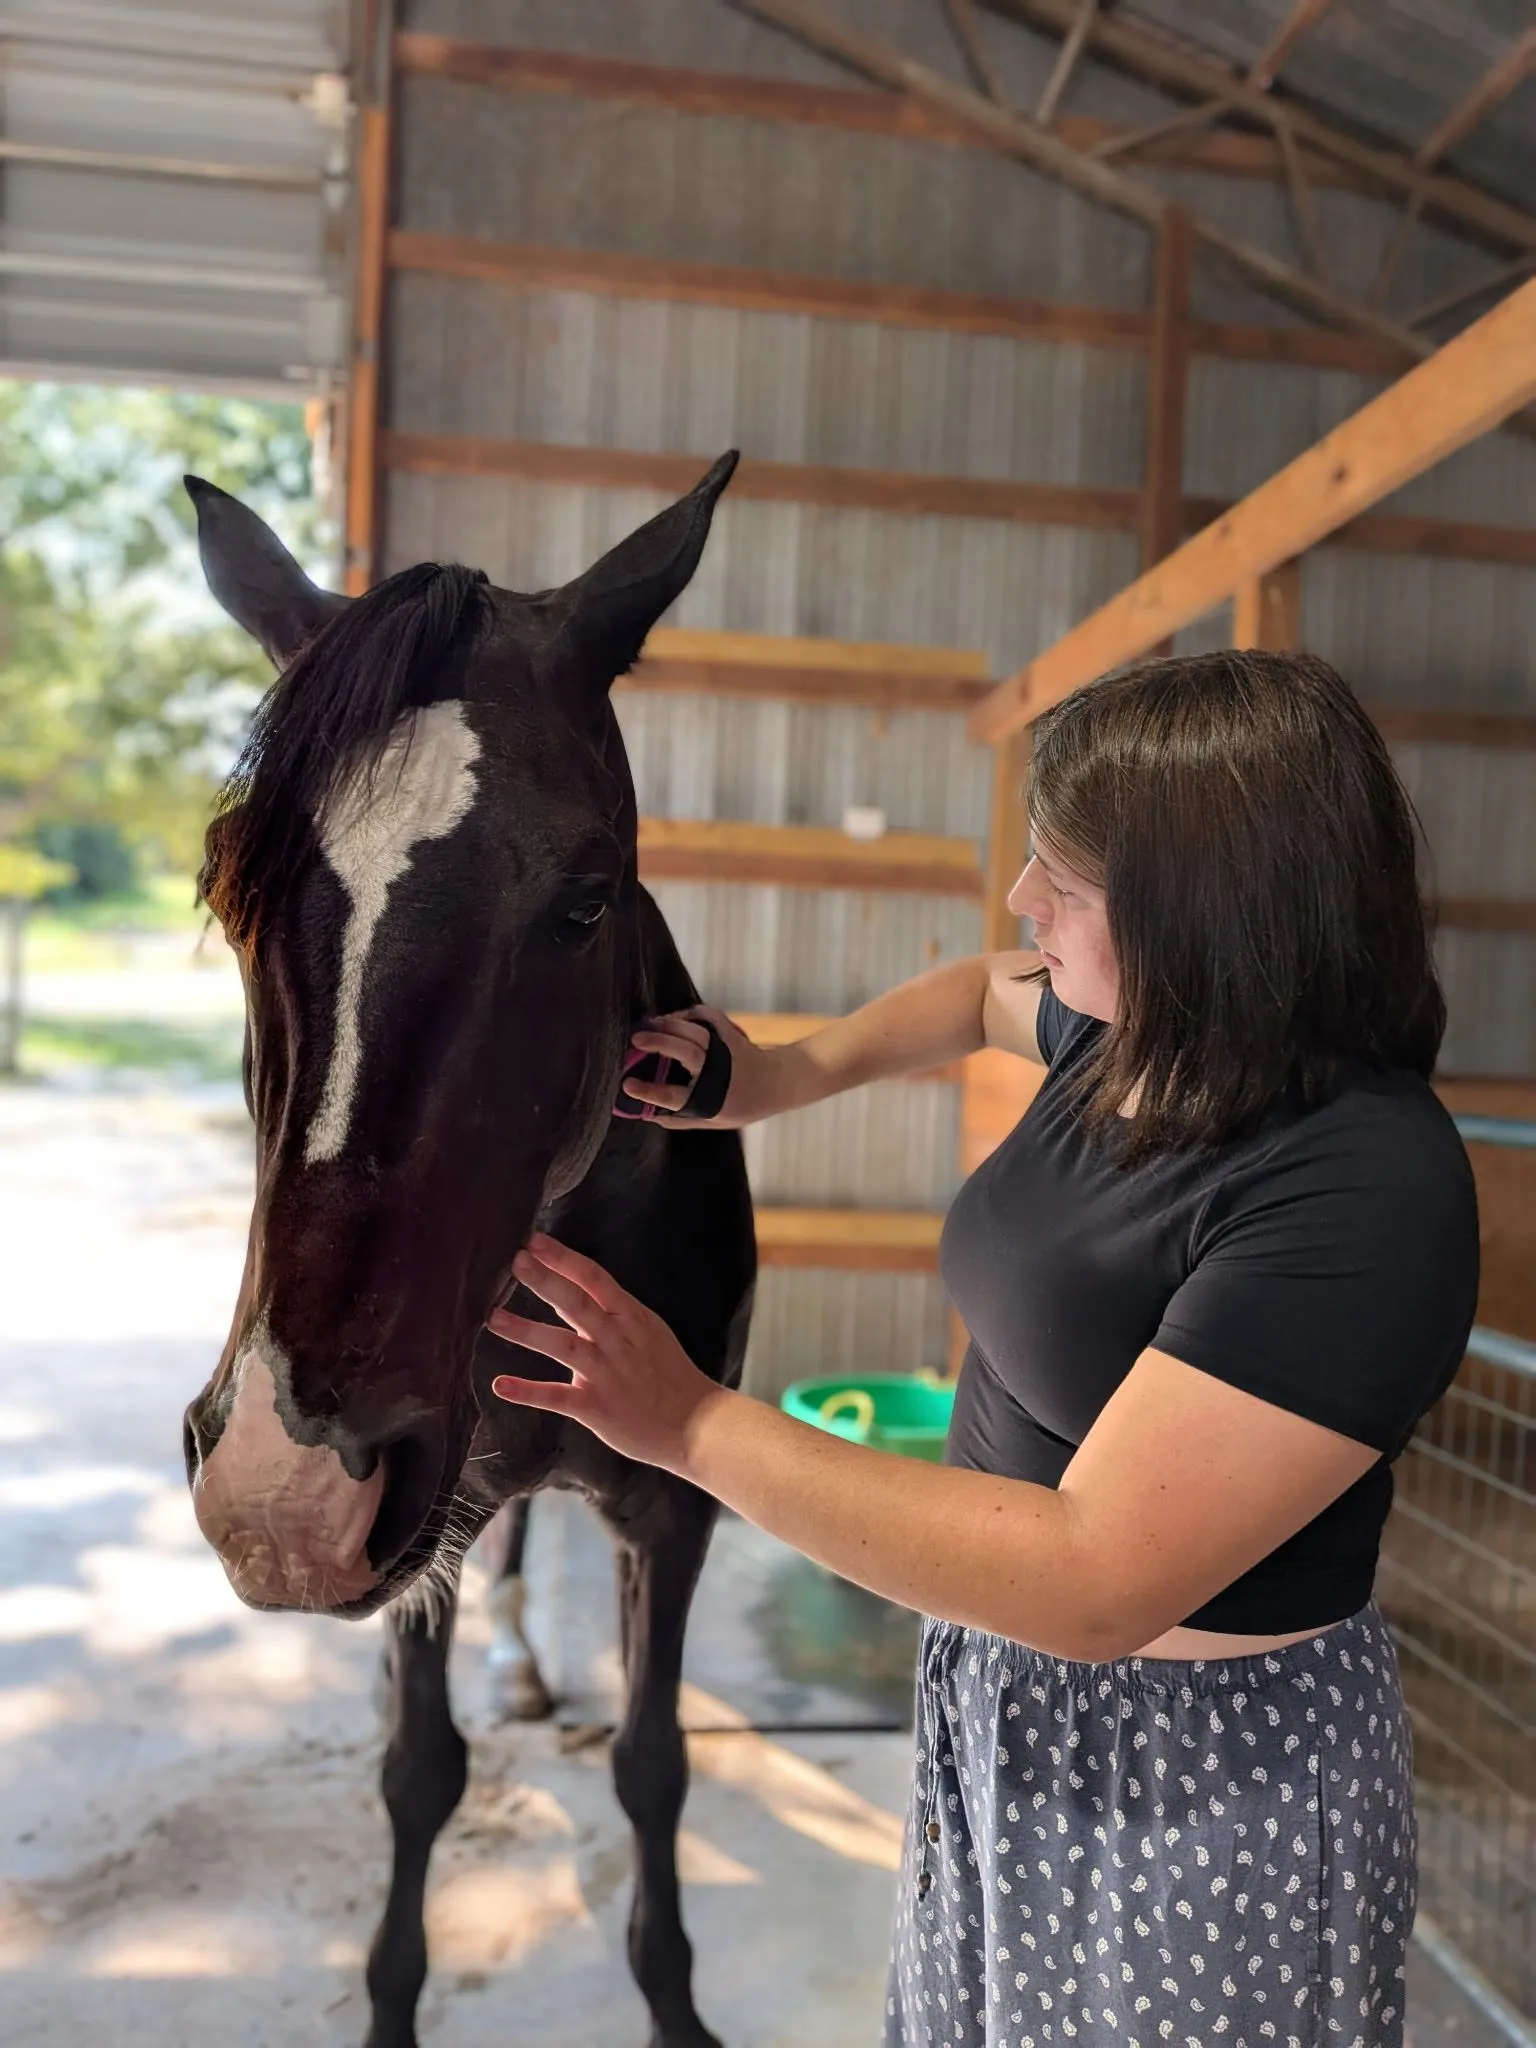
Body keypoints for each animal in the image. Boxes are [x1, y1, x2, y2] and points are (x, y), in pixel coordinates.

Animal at [180, 454, 757, 2048]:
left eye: (588, 895)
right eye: (231, 898)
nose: (282, 1494)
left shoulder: (674, 1513)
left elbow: (654, 1763)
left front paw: (678, 2007)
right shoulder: (422, 1516)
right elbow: (417, 1774)